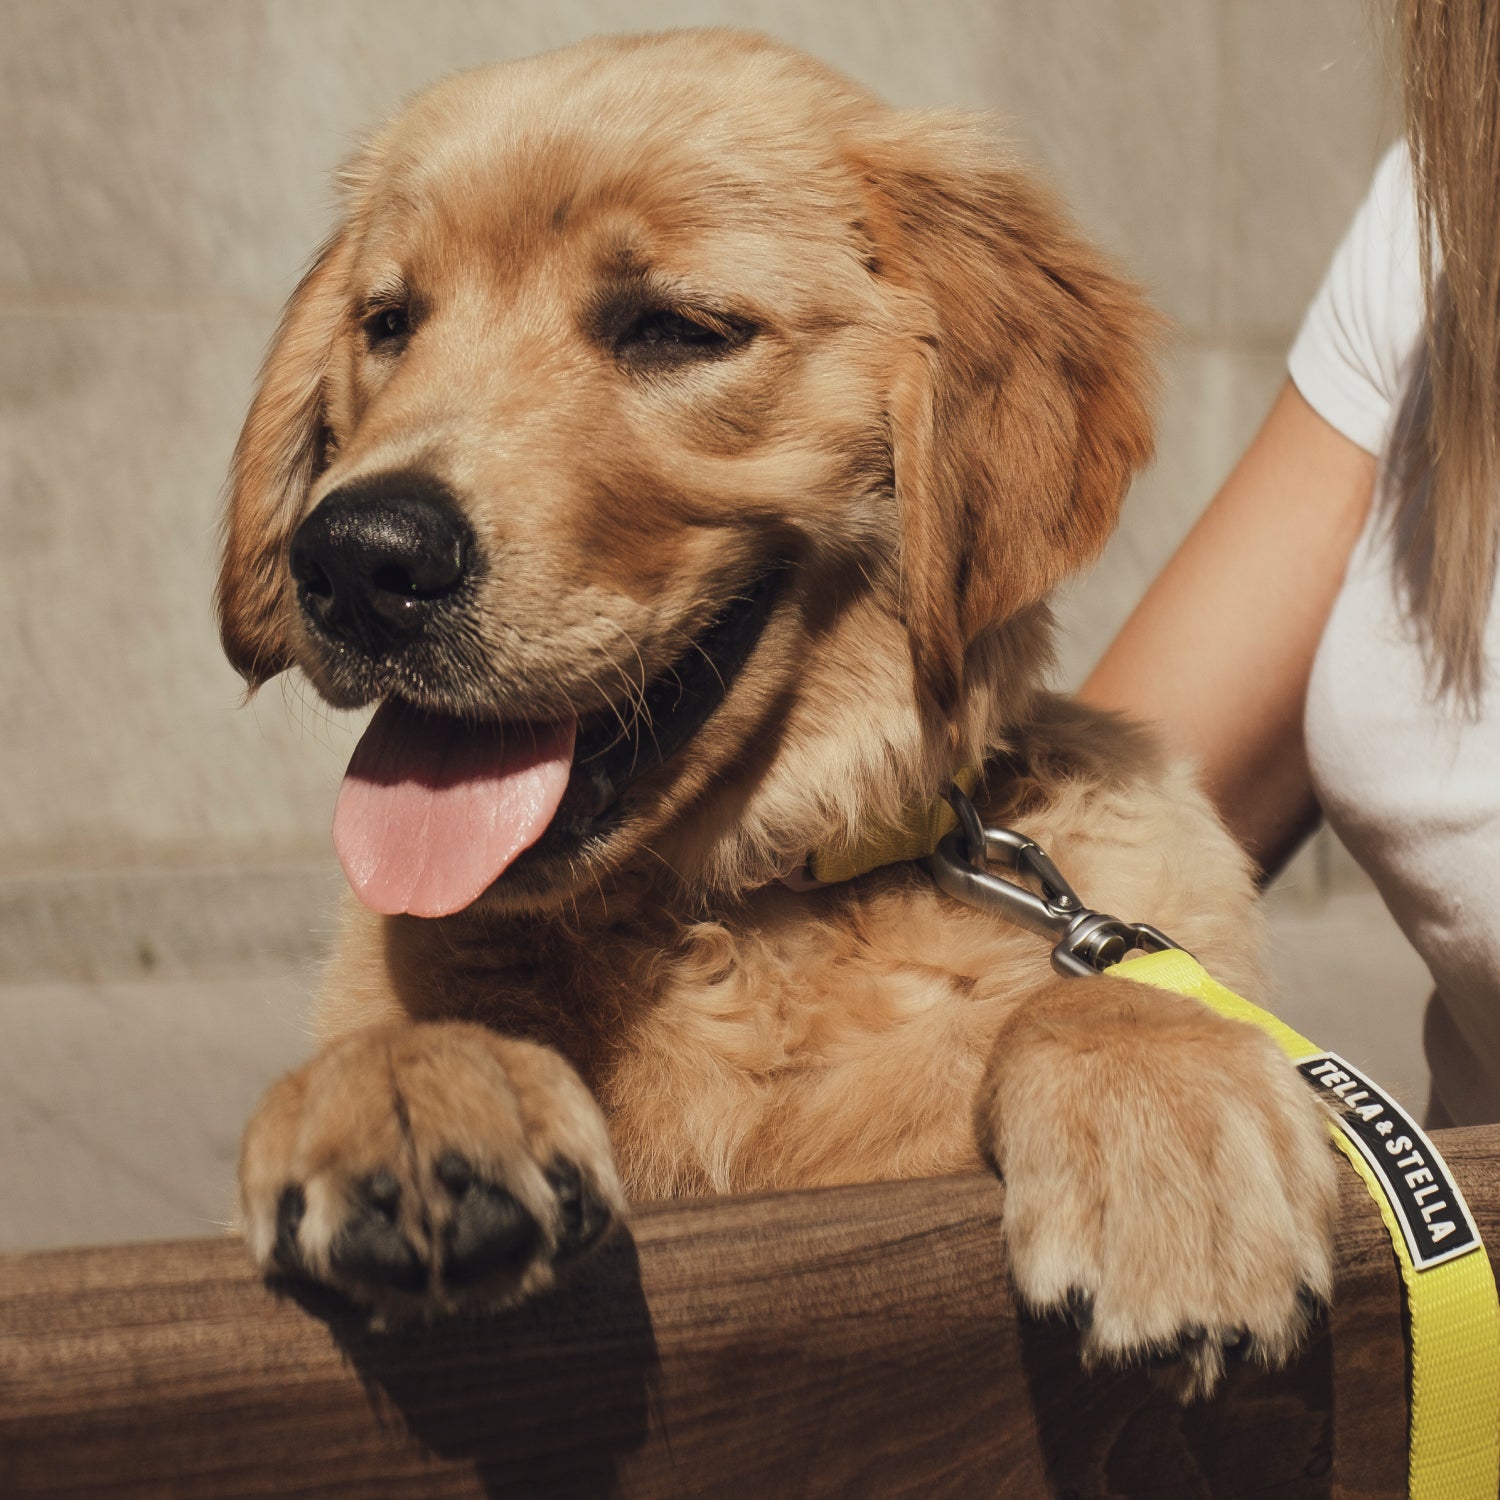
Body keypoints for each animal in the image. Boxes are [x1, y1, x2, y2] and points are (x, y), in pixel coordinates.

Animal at [217, 29, 1332, 1398]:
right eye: (389, 324)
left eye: (674, 329)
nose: (360, 559)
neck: (746, 911)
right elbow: (401, 1034)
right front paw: (419, 1082)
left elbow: (1093, 991)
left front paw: (1165, 1119)